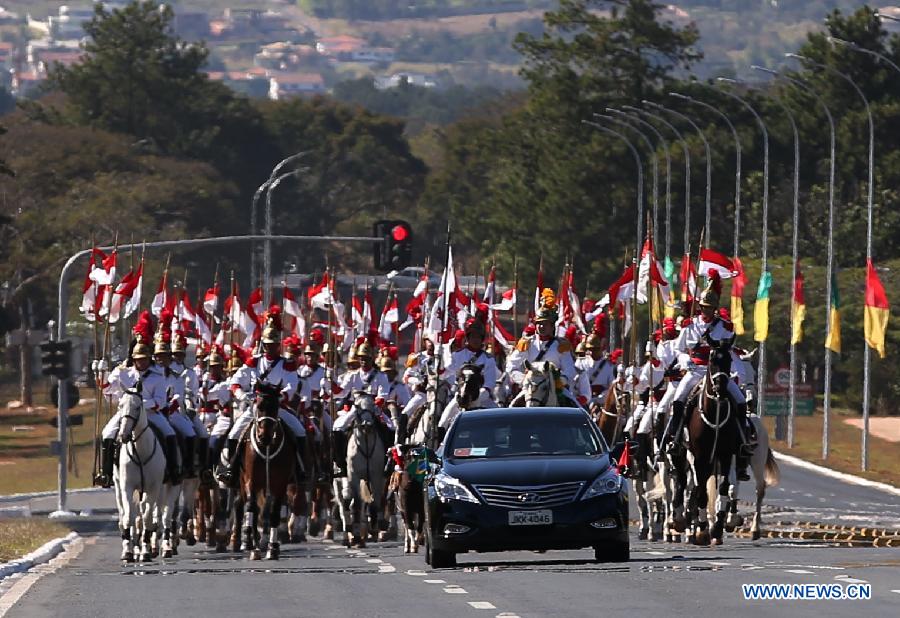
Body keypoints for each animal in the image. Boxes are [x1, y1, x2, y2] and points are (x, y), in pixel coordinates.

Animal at [114, 390, 165, 564]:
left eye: (137, 407)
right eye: (120, 405)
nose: (123, 436)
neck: (140, 451)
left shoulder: (154, 488)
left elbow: (148, 518)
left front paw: (146, 551)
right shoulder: (127, 487)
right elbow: (129, 517)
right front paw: (128, 552)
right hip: (118, 488)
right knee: (124, 517)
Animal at [234, 380, 298, 560]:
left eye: (276, 406)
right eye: (259, 405)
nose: (265, 436)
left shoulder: (280, 484)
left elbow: (274, 512)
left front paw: (272, 548)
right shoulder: (250, 481)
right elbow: (251, 507)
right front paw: (250, 542)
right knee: (251, 507)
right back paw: (250, 542)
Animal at [684, 336, 740, 544]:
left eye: (729, 360)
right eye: (712, 359)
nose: (720, 389)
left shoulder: (725, 455)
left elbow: (723, 487)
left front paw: (717, 527)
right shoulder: (700, 458)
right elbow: (700, 492)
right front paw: (702, 530)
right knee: (696, 488)